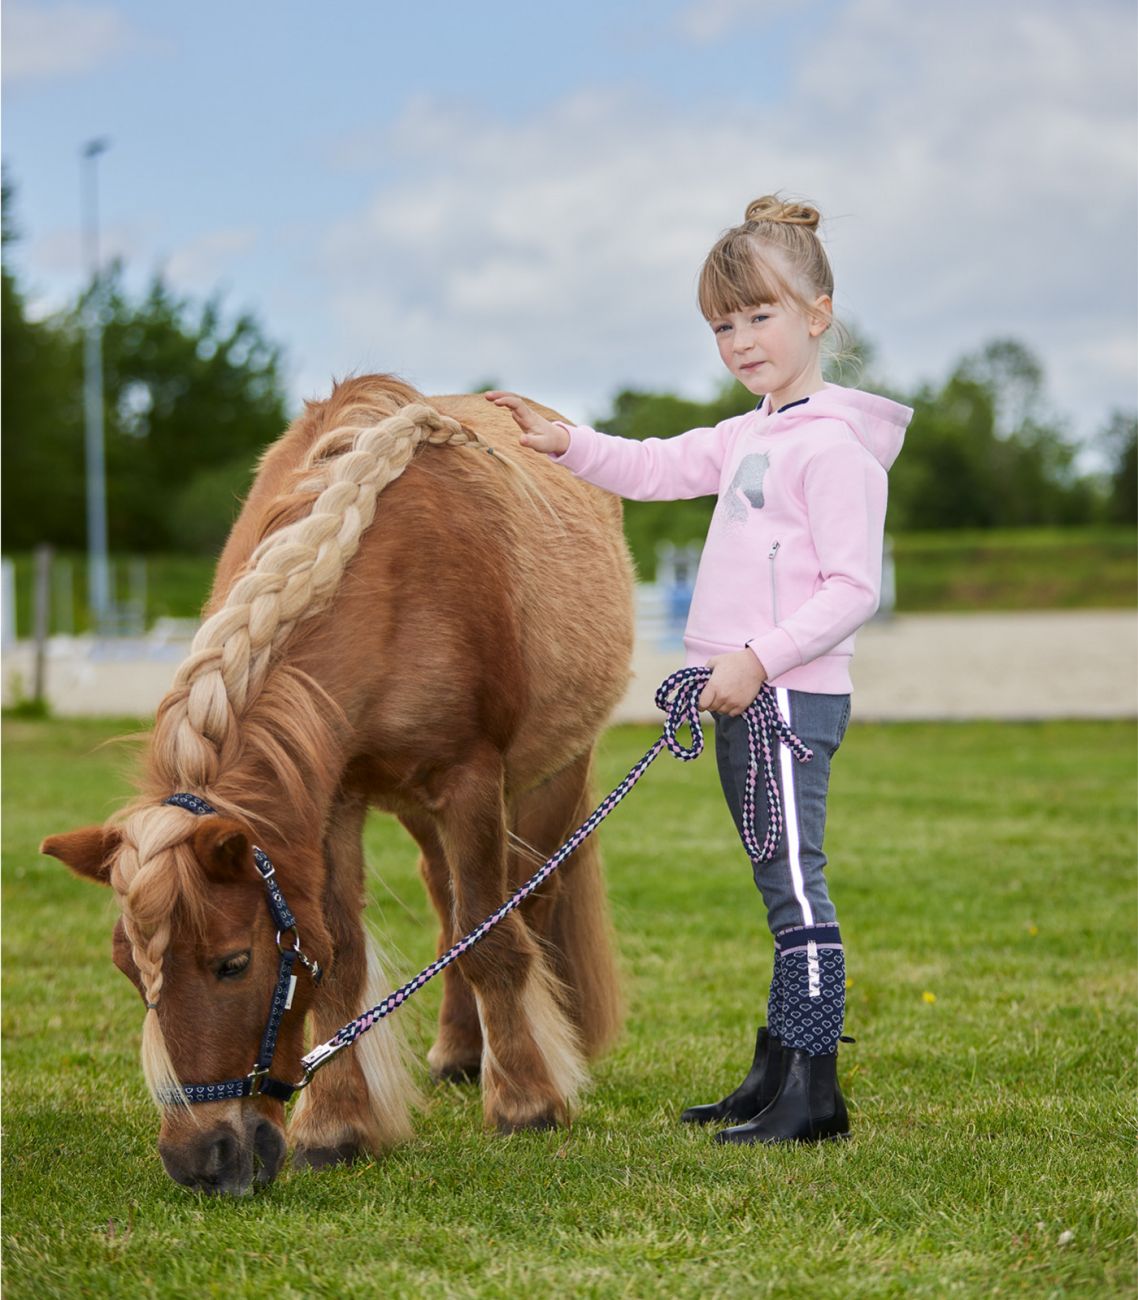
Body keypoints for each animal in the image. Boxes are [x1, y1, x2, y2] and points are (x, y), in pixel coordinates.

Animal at [42, 371, 632, 1190]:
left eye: (233, 964)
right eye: (129, 969)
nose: (199, 1159)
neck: (389, 581)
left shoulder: (471, 780)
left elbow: (492, 938)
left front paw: (528, 1104)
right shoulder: (331, 799)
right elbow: (344, 953)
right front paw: (338, 1126)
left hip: (550, 778)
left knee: (527, 903)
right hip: (418, 807)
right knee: (446, 901)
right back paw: (460, 1051)